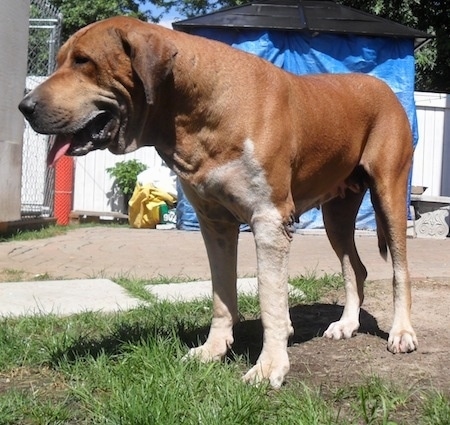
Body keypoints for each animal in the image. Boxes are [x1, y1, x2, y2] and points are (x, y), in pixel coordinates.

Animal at [18, 16, 418, 388]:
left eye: (83, 61)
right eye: (60, 60)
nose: (25, 106)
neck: (192, 108)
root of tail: (383, 86)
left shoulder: (269, 220)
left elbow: (271, 299)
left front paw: (269, 367)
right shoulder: (215, 223)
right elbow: (221, 293)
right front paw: (214, 349)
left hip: (390, 195)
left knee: (400, 270)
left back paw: (401, 333)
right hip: (336, 214)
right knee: (355, 267)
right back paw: (347, 324)